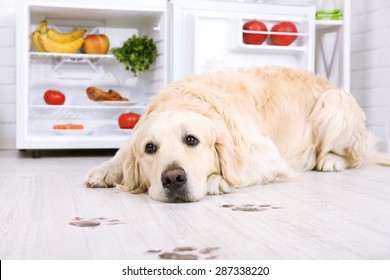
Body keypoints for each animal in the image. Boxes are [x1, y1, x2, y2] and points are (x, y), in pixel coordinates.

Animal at [84, 66, 386, 202]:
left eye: (191, 140)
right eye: (150, 148)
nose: (173, 179)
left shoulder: (266, 154)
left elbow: (239, 169)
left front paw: (216, 179)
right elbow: (122, 151)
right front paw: (105, 169)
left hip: (334, 105)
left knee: (354, 156)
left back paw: (330, 160)